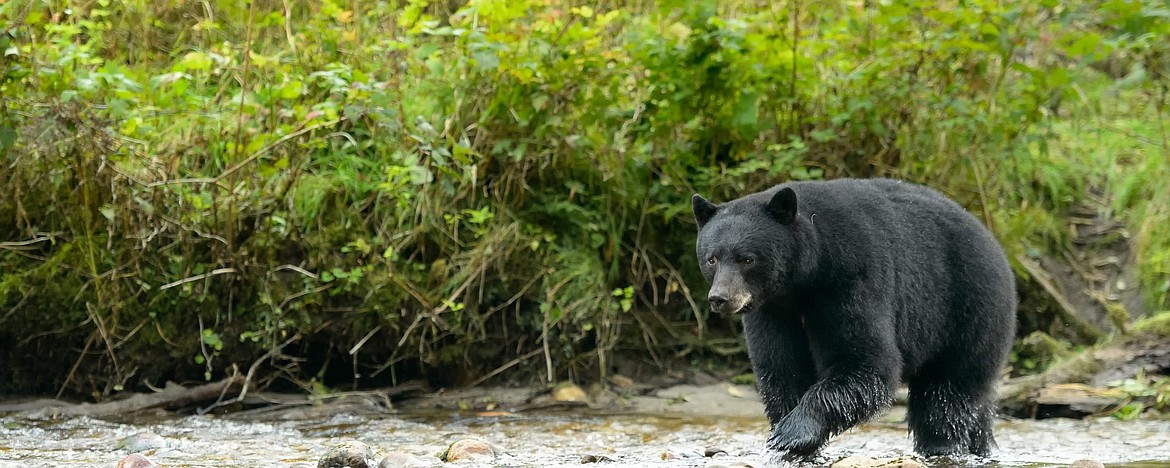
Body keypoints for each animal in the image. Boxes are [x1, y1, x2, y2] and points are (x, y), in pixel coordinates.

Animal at [692, 177, 1015, 460]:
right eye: (712, 258)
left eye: (747, 258)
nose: (720, 298)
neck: (803, 280)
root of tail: (993, 241)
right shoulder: (772, 311)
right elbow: (781, 367)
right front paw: (792, 440)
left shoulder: (852, 280)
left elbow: (866, 361)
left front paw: (791, 434)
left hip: (966, 309)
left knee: (946, 393)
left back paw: (941, 445)